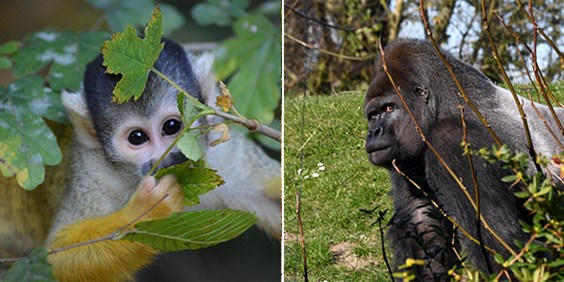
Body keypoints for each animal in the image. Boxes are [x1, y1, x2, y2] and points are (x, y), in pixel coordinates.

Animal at [0, 38, 280, 280]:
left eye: (171, 126)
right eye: (137, 137)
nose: (164, 160)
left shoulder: (223, 154)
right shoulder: (92, 172)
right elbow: (54, 260)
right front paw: (150, 211)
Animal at [366, 39, 564, 280]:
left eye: (389, 108)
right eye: (373, 115)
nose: (374, 132)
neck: (442, 106)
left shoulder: (451, 140)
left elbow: (500, 241)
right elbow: (422, 223)